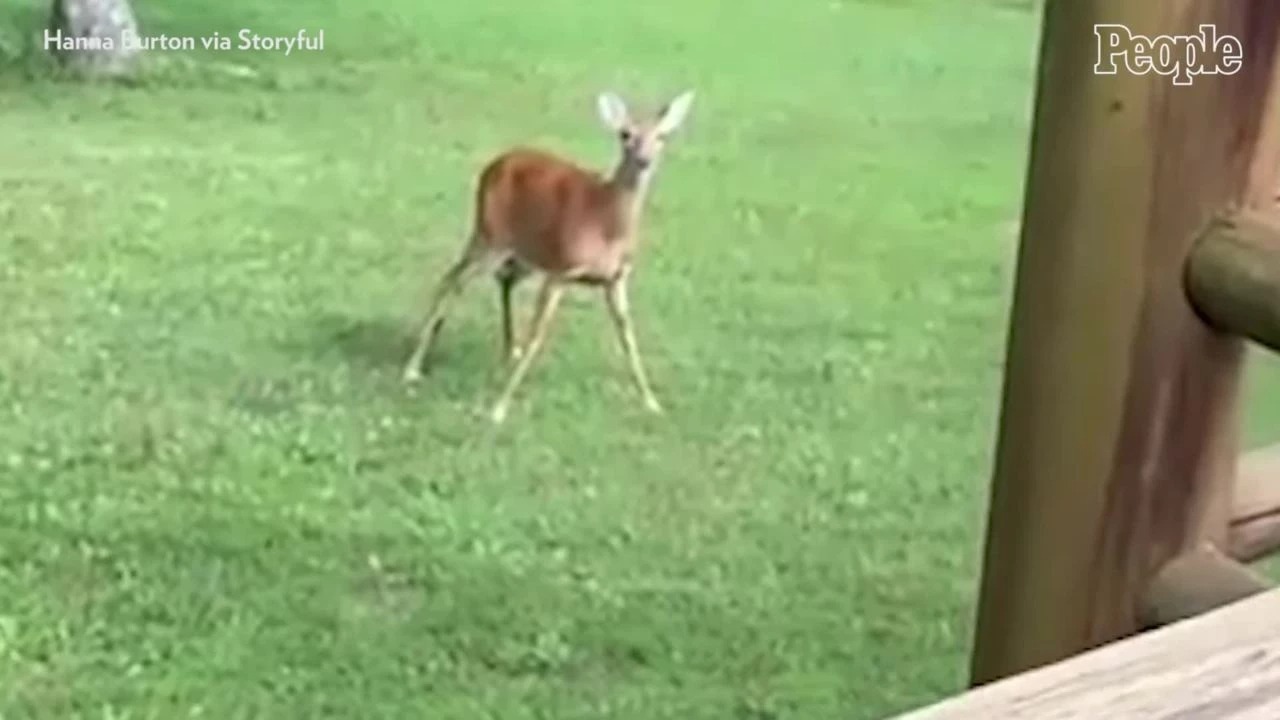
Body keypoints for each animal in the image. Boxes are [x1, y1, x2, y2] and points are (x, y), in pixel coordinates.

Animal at [401, 89, 697, 424]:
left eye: (662, 136)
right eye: (625, 135)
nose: (644, 160)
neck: (604, 223)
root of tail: (495, 164)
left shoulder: (616, 278)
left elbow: (628, 336)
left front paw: (652, 402)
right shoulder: (560, 269)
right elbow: (537, 336)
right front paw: (499, 409)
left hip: (525, 251)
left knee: (501, 279)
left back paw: (509, 350)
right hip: (489, 234)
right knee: (451, 280)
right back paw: (412, 369)